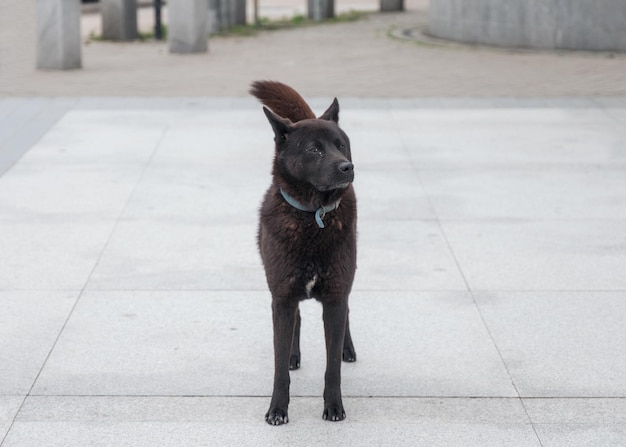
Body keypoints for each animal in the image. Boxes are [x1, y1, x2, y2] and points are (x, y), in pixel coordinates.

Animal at [249, 81, 356, 428]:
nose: (347, 167)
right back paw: (295, 356)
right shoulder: (281, 297)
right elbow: (279, 364)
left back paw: (349, 350)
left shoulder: (335, 296)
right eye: (314, 150)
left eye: (342, 145)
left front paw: (334, 407)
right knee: (295, 319)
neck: (313, 216)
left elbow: (332, 367)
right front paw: (277, 410)